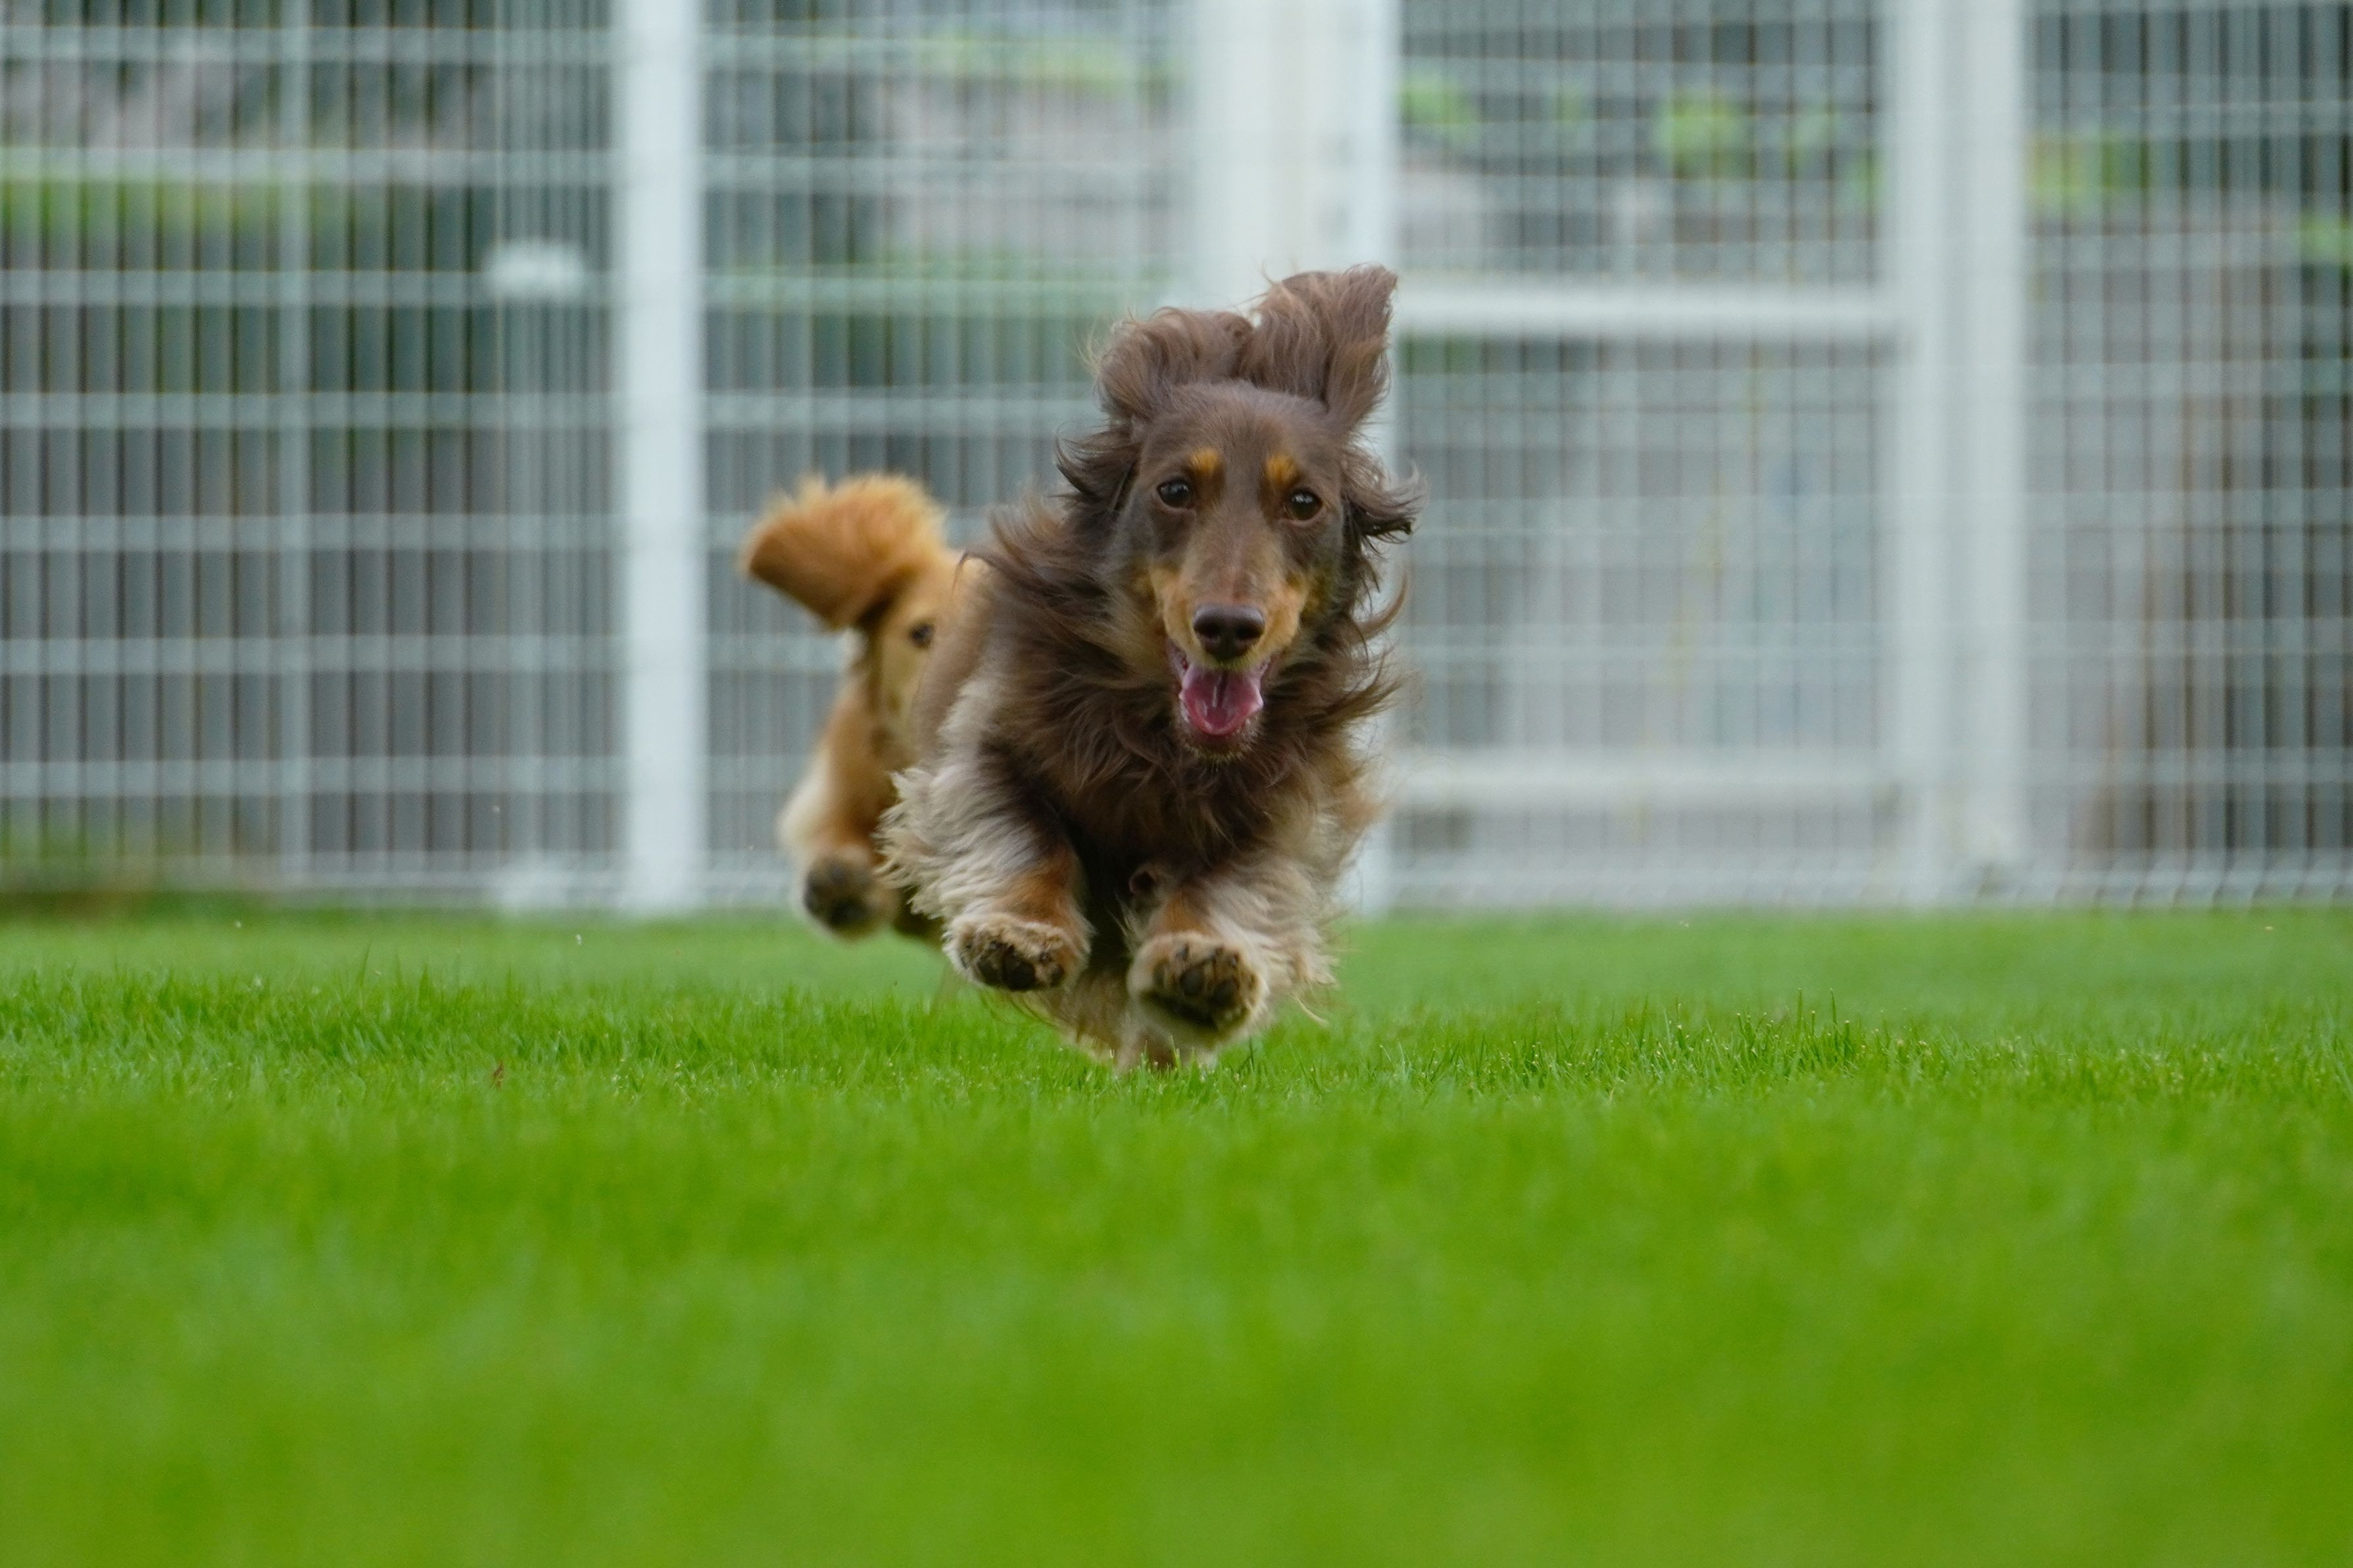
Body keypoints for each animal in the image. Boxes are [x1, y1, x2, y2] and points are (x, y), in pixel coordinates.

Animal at [882, 265, 1417, 1067]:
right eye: (1174, 490)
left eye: (1303, 502)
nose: (1228, 627)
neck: (1161, 737)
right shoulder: (987, 741)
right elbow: (1022, 830)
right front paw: (1019, 931)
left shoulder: (1282, 810)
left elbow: (1233, 885)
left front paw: (1206, 966)